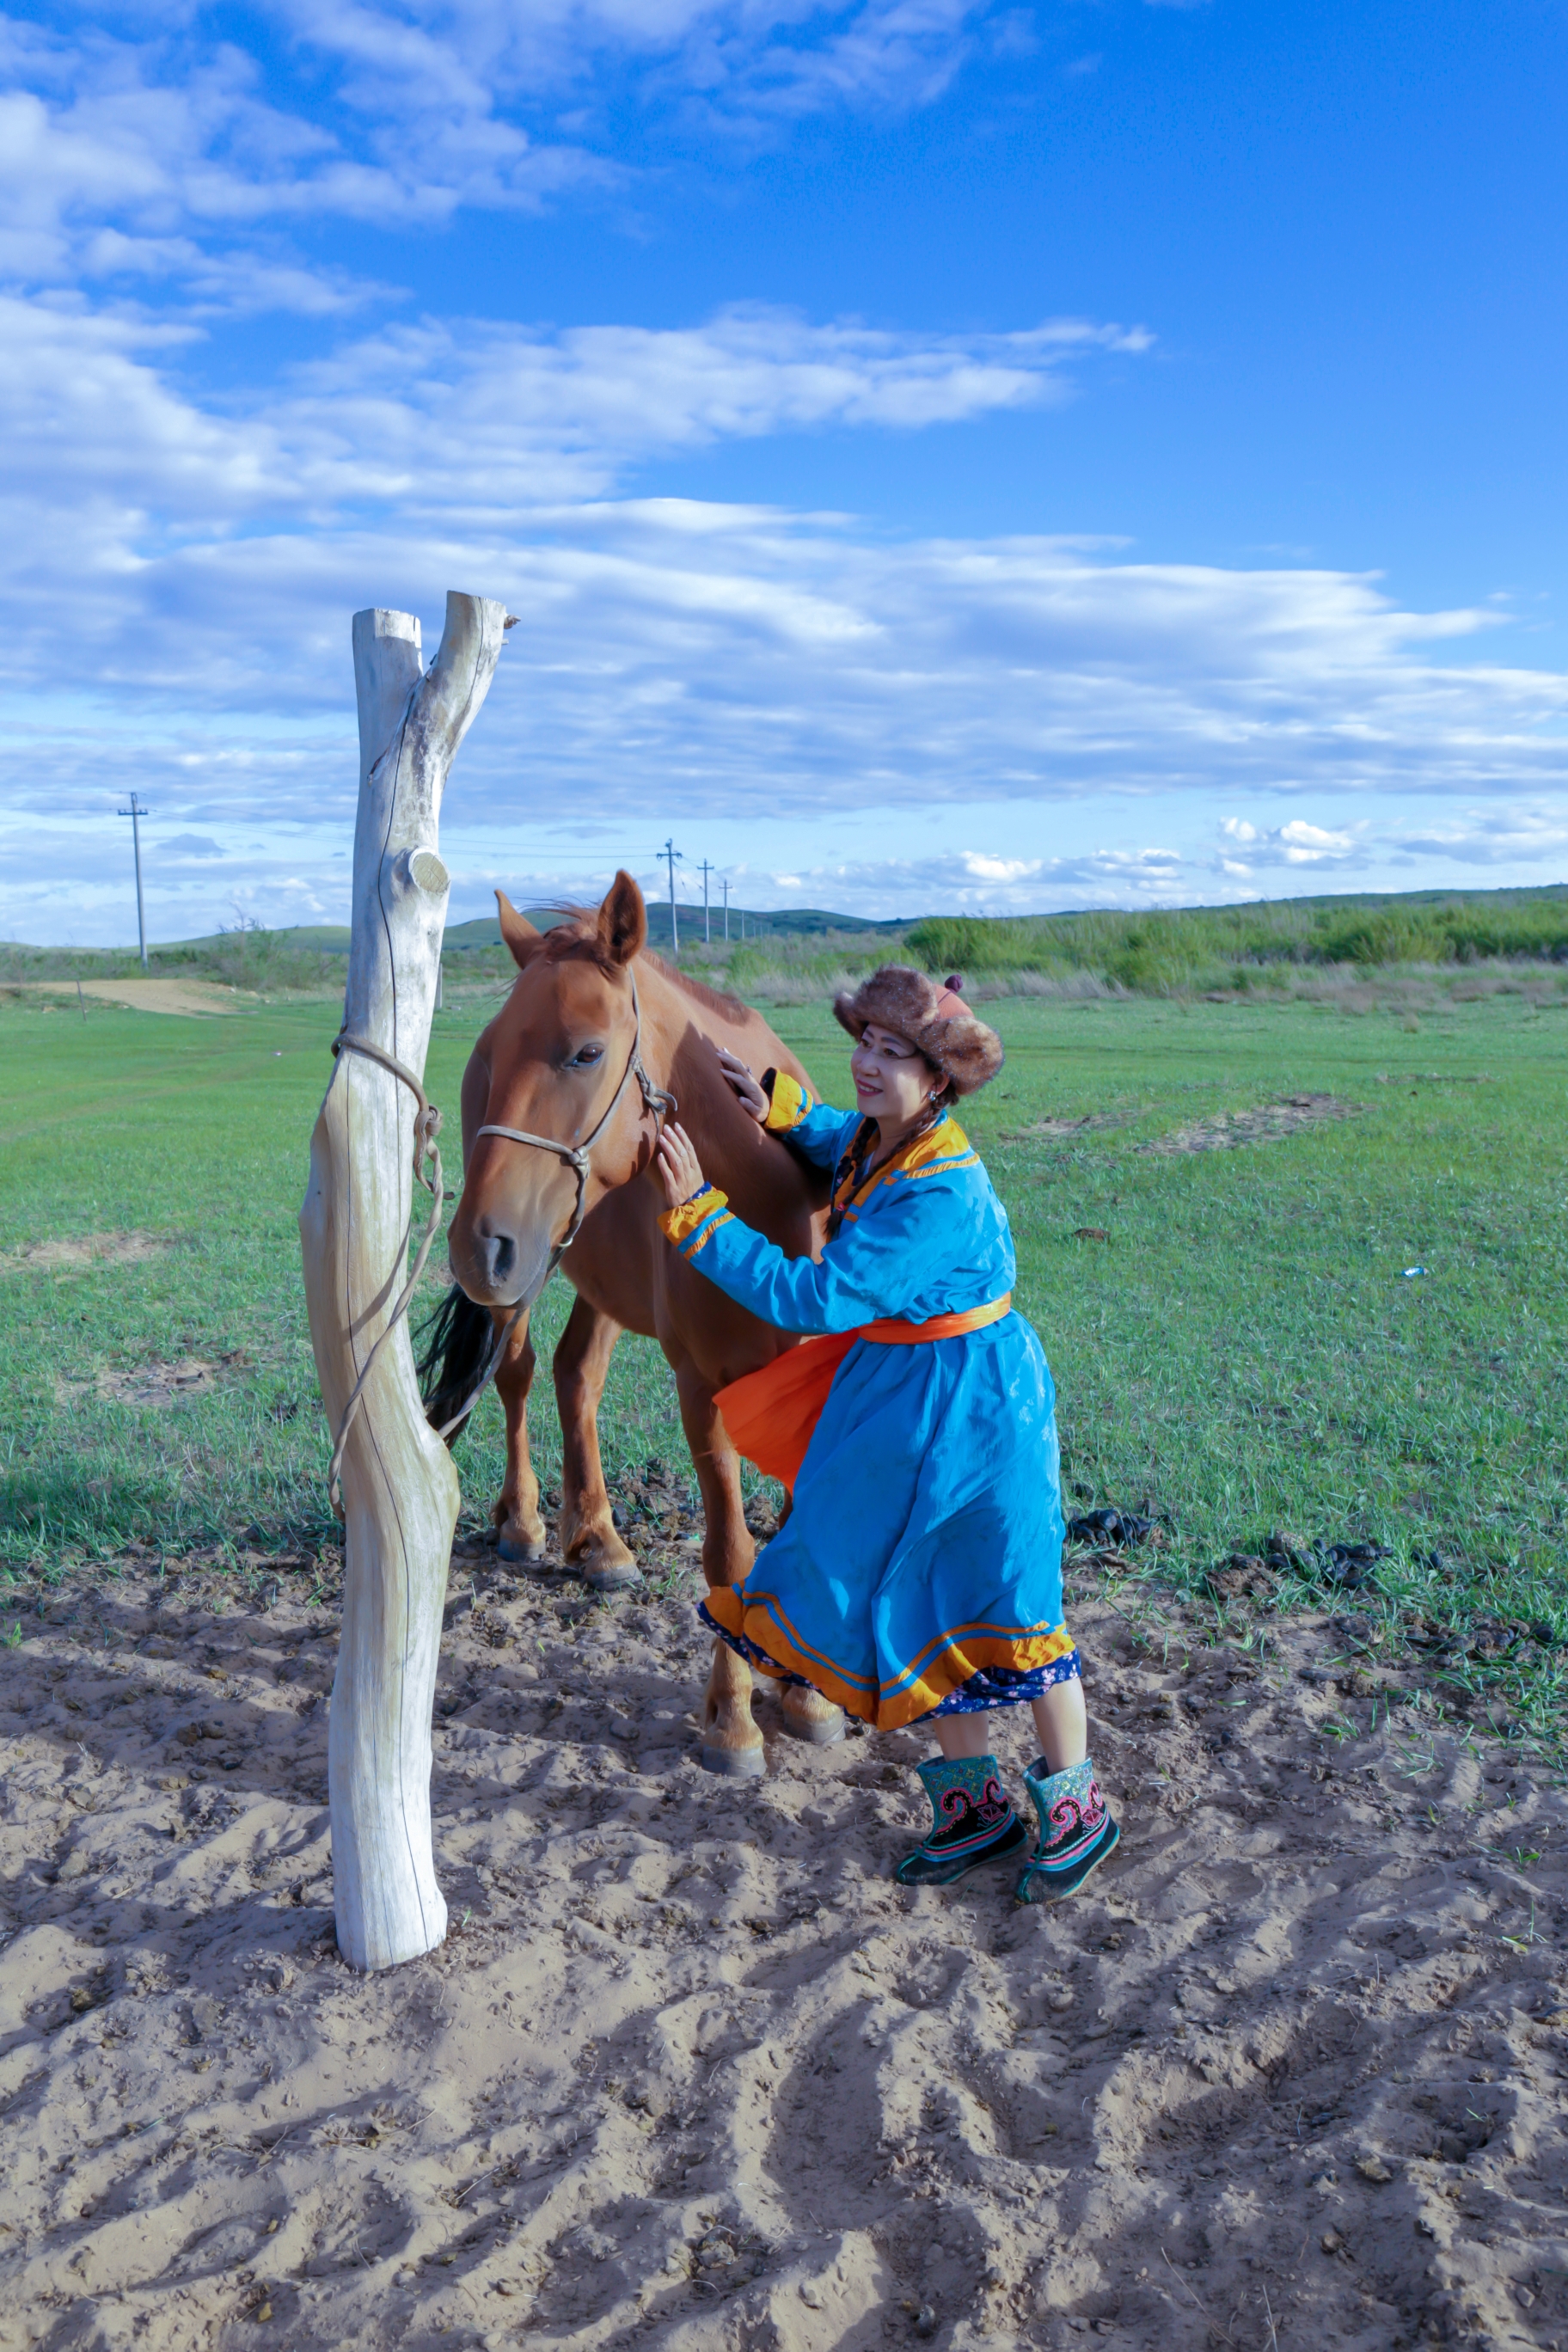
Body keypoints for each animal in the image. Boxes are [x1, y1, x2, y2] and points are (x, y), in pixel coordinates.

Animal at [423, 874, 846, 1768]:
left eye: (586, 1052)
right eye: (497, 1051)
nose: (475, 1246)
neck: (772, 1198)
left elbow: (802, 1528)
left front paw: (810, 1696)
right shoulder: (702, 1390)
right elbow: (731, 1551)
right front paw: (733, 1717)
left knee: (575, 1374)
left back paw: (601, 1542)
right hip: (528, 1275)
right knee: (519, 1375)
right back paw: (527, 1524)